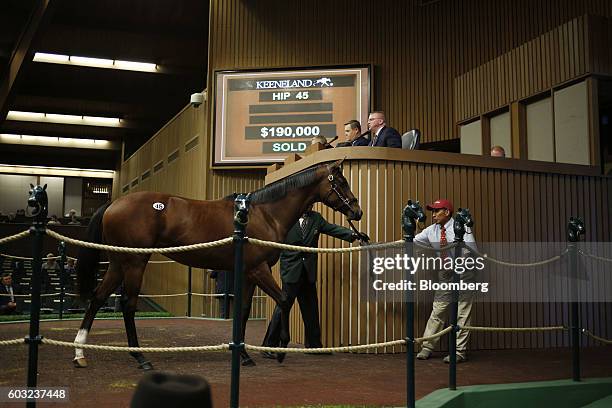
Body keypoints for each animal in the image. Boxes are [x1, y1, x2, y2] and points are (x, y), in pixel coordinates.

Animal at [72, 159, 360, 370]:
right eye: (341, 182)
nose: (357, 212)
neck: (264, 214)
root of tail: (113, 204)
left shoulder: (247, 273)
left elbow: (243, 311)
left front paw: (244, 355)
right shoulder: (259, 269)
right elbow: (284, 299)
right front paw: (279, 350)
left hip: (118, 263)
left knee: (98, 298)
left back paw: (79, 353)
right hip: (134, 262)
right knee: (128, 304)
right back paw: (141, 358)